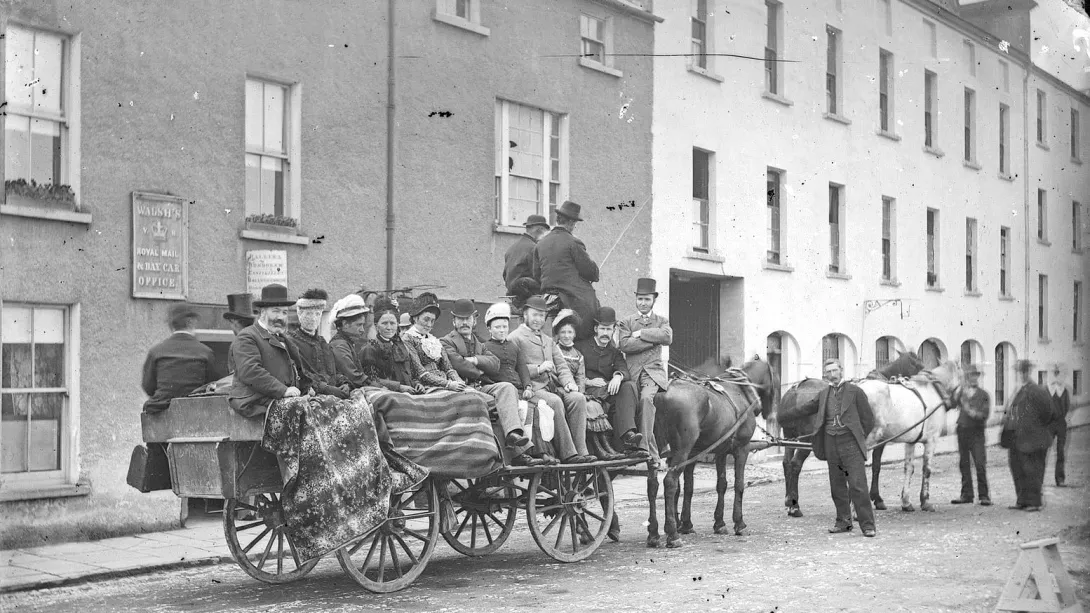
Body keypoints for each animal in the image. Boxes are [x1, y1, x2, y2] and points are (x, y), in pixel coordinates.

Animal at [645, 359, 776, 548]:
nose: (770, 414)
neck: (740, 390)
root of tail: (662, 394)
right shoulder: (742, 448)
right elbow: (739, 484)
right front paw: (739, 523)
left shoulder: (720, 452)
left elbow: (717, 485)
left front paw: (717, 523)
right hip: (681, 450)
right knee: (669, 482)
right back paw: (672, 534)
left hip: (655, 450)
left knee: (652, 485)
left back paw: (654, 533)